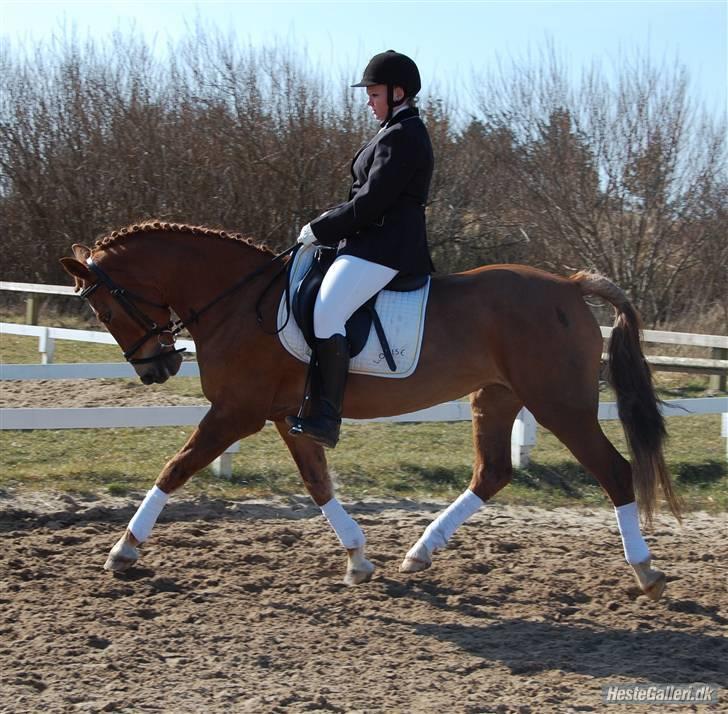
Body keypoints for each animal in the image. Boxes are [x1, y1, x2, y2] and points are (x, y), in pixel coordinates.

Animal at [62, 221, 684, 596]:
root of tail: (570, 285)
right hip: (497, 398)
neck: (239, 302)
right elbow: (317, 484)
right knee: (492, 473)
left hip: (559, 404)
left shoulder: (237, 412)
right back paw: (420, 553)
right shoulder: (288, 416)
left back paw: (646, 571)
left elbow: (175, 468)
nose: (156, 369)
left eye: (103, 310)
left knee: (615, 472)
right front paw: (359, 559)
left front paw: (123, 550)